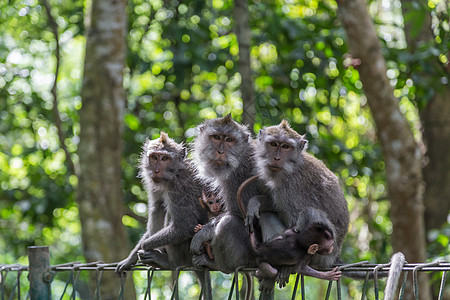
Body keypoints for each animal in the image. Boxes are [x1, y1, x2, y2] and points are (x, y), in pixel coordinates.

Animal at [115, 132, 208, 276]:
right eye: (154, 157)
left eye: (165, 158)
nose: (156, 170)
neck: (175, 173)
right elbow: (156, 205)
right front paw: (129, 259)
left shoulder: (179, 188)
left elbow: (184, 226)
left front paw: (145, 245)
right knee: (159, 207)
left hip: (189, 254)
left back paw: (169, 262)